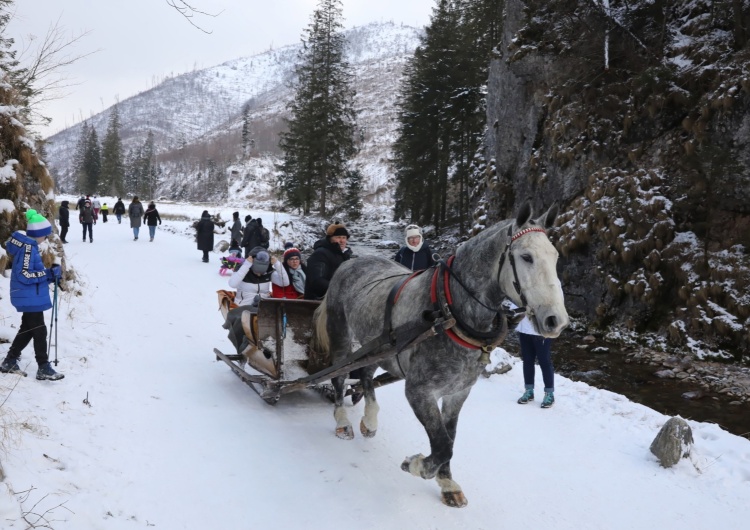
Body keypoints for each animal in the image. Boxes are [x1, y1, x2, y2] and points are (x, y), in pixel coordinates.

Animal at [312, 201, 568, 504]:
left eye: (555, 256)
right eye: (526, 257)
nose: (556, 320)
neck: (449, 312)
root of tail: (349, 262)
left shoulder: (458, 392)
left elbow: (450, 437)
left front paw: (447, 483)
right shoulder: (419, 391)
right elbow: (443, 444)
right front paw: (415, 464)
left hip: (379, 346)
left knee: (365, 373)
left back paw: (370, 421)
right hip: (342, 337)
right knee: (339, 377)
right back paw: (342, 422)